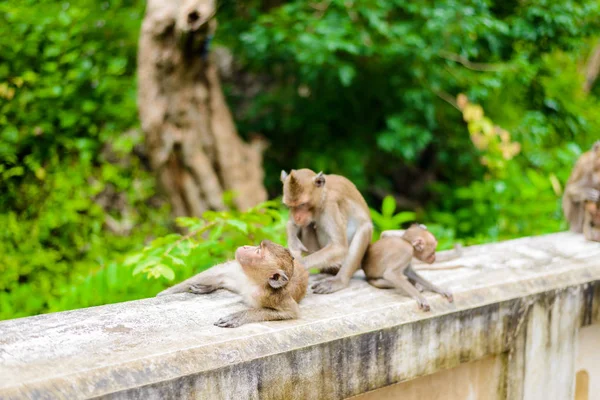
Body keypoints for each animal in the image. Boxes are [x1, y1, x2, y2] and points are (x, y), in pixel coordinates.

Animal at [157, 239, 308, 326]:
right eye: (258, 246)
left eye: (258, 251)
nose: (246, 247)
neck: (252, 280)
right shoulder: (239, 271)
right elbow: (217, 272)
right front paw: (163, 294)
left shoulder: (272, 295)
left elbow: (291, 312)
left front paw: (238, 317)